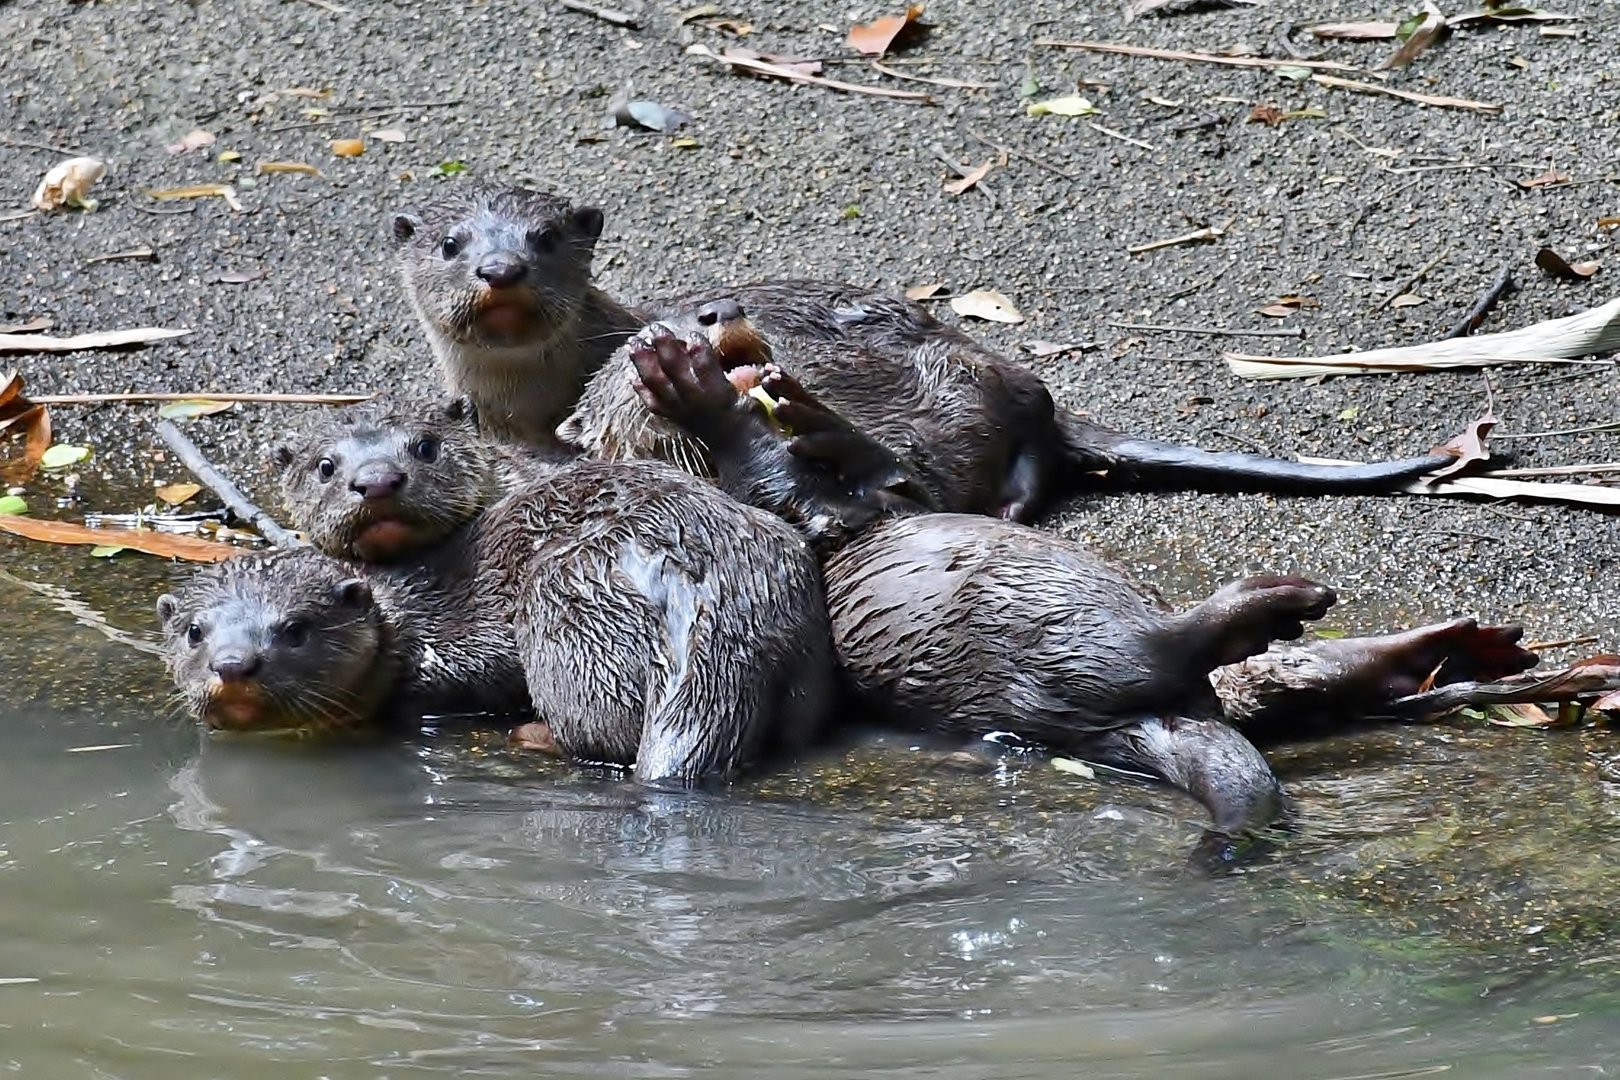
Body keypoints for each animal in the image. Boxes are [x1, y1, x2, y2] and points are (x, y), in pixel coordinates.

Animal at [160, 396, 839, 785]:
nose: (233, 664)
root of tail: (704, 601)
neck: (403, 605)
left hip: (563, 610)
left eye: (294, 630)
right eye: (195, 633)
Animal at [390, 182, 1469, 520]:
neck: (535, 405)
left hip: (966, 375)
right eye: (453, 244)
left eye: (543, 239)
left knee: (1018, 423)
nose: (499, 269)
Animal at [621, 306, 1552, 859]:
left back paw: (1459, 649)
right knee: (1165, 648)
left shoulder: (886, 495)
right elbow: (779, 470)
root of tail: (1138, 727)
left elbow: (878, 469)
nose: (706, 322)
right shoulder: (805, 513)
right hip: (1056, 644)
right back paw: (1276, 607)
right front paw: (690, 384)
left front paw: (801, 403)